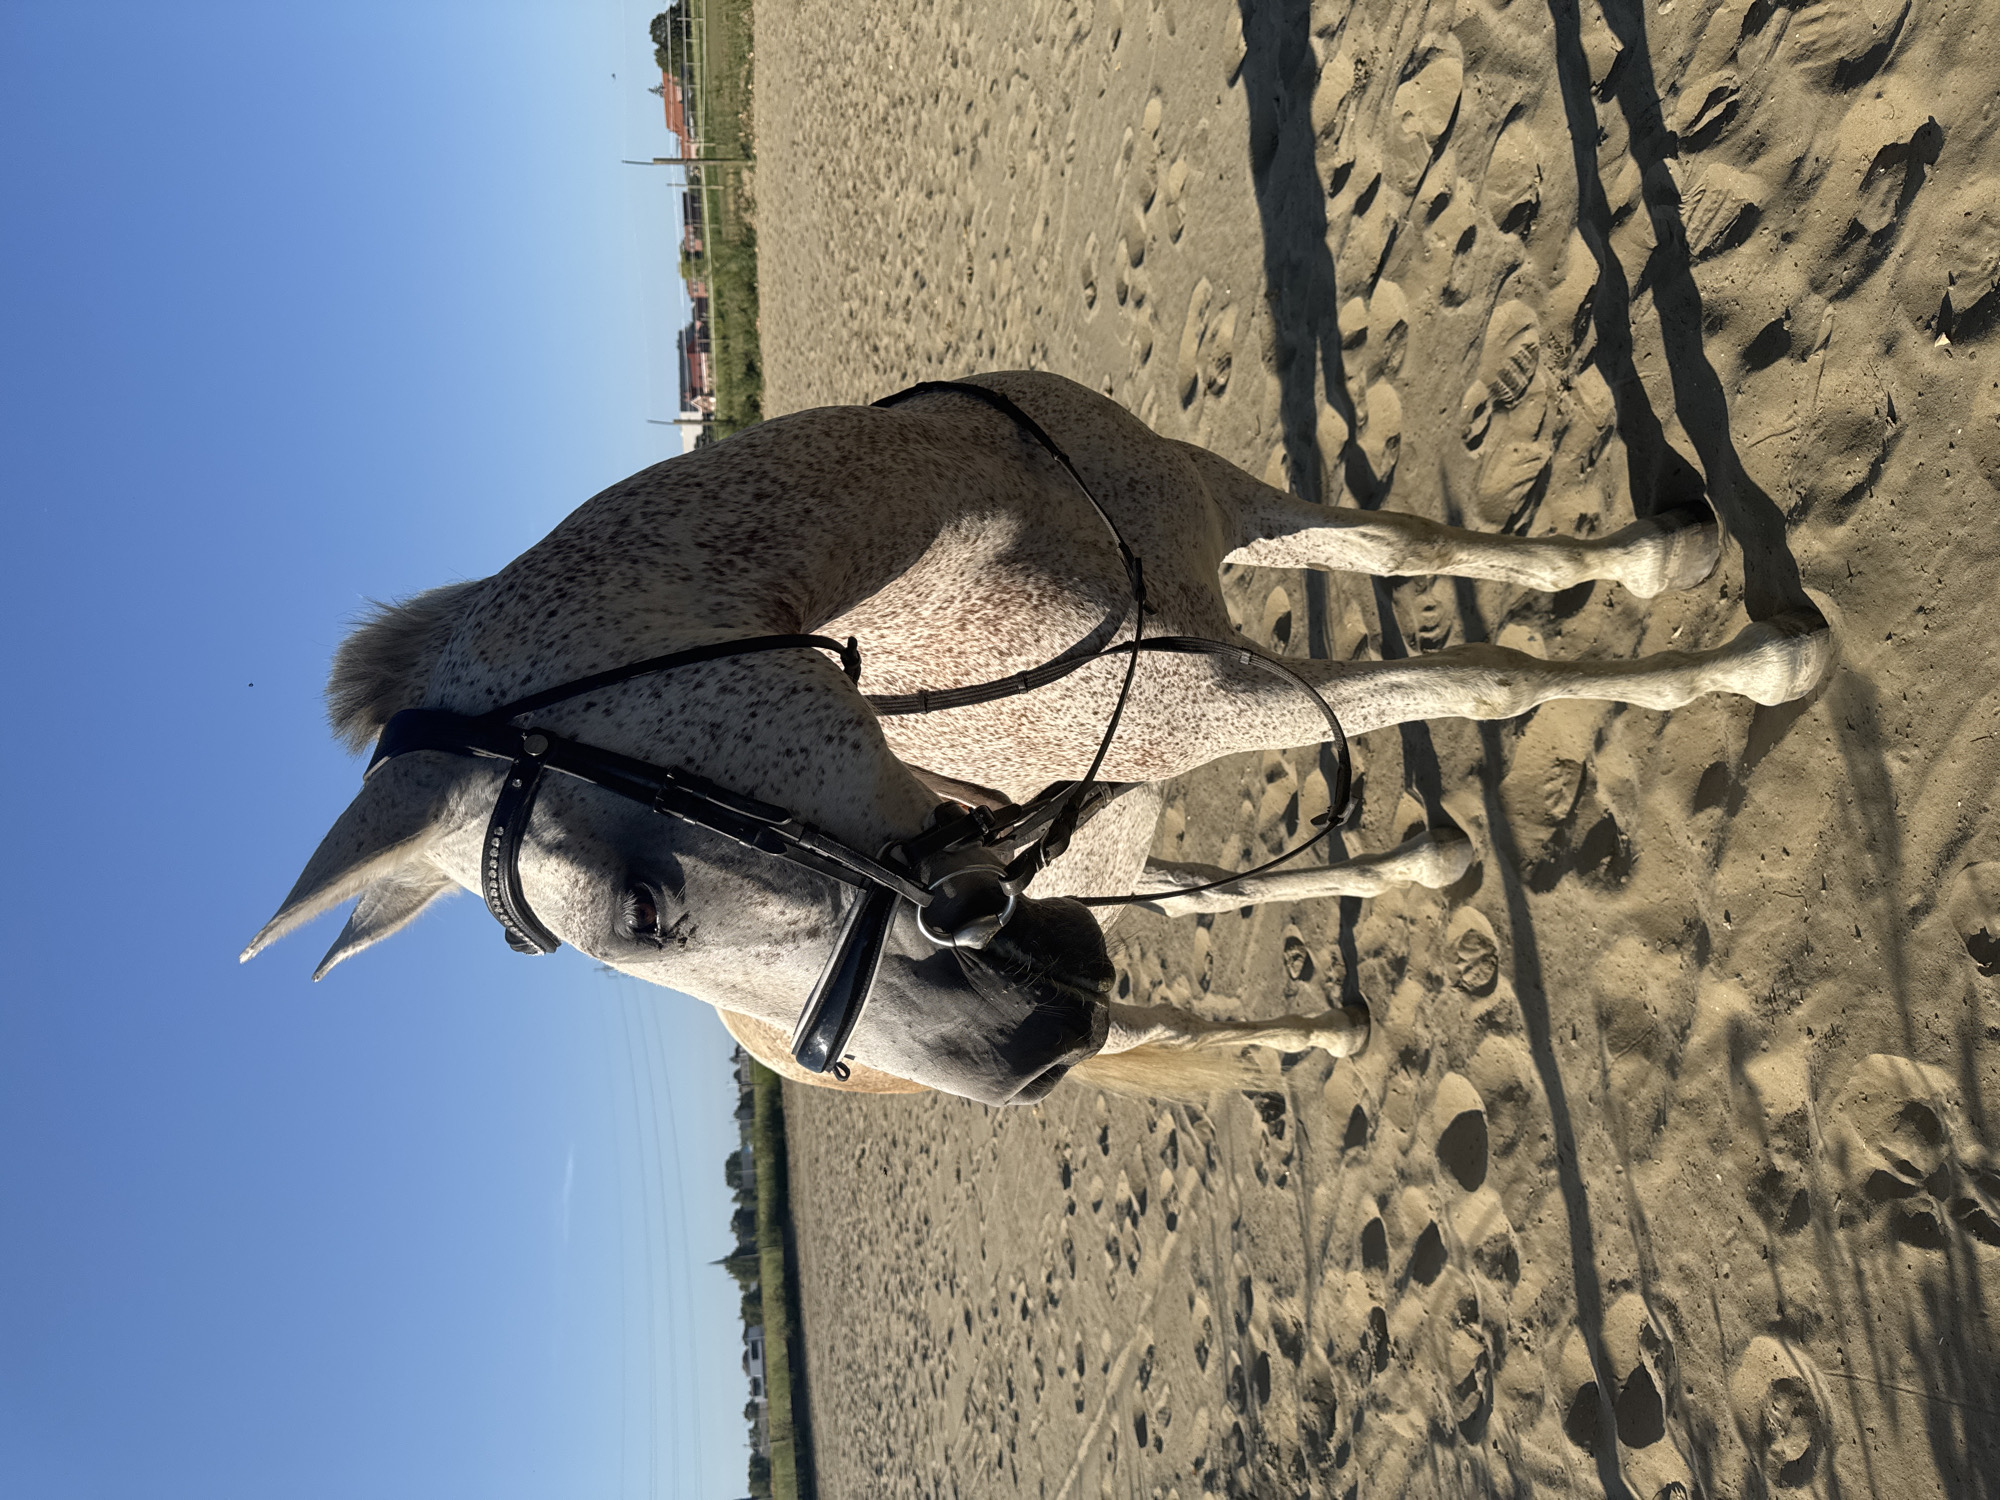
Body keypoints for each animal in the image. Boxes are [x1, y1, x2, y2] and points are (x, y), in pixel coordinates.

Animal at [242, 372, 1832, 1105]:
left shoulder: (1221, 502)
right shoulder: (1219, 692)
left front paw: (1667, 557)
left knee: (1181, 902)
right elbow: (1478, 683)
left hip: (1092, 853)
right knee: (1172, 992)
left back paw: (1411, 884)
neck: (970, 525)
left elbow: (1411, 546)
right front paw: (1762, 661)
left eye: (641, 907)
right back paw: (1320, 1025)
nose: (1025, 1059)